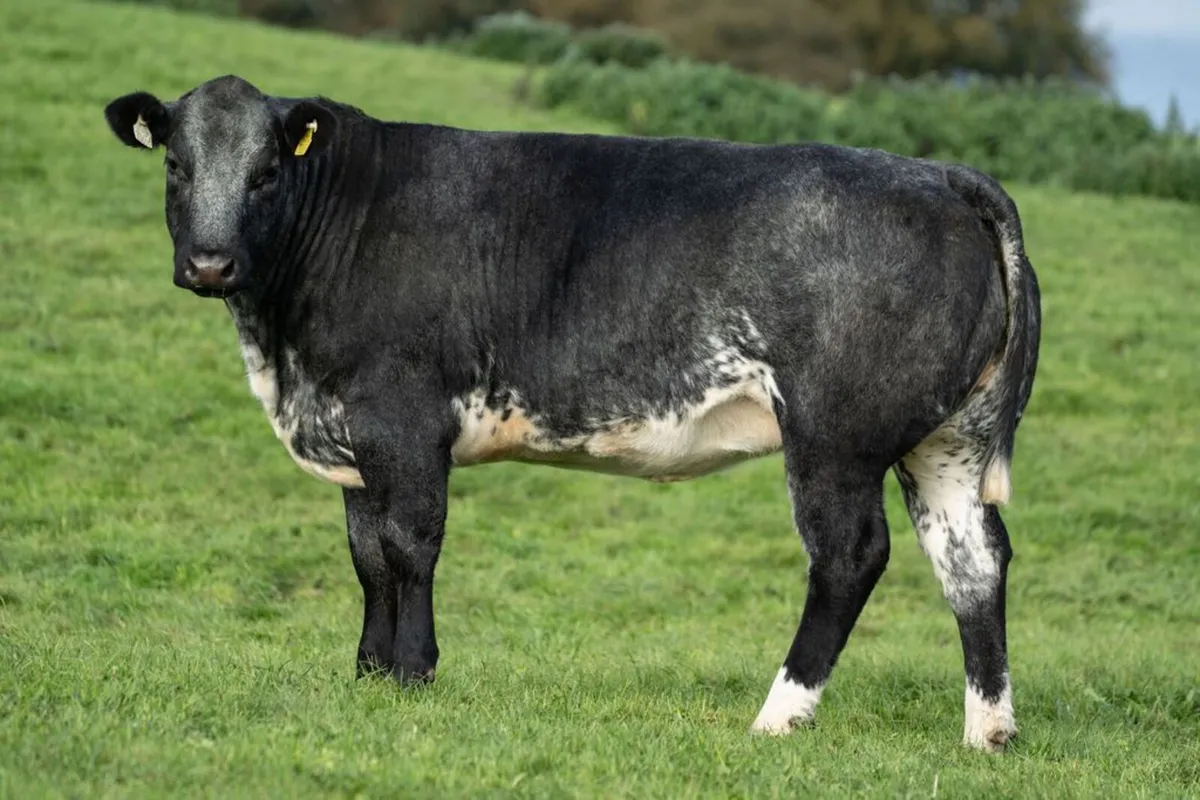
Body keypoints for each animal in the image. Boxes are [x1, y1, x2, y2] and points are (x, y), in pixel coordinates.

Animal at [103, 74, 1040, 751]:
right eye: (176, 166)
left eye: (265, 171)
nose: (210, 262)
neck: (285, 354)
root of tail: (940, 173)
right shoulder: (353, 435)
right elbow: (367, 556)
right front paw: (367, 673)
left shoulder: (400, 418)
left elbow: (409, 545)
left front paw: (412, 674)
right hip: (944, 442)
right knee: (973, 561)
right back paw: (986, 732)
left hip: (834, 437)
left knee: (850, 557)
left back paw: (779, 715)